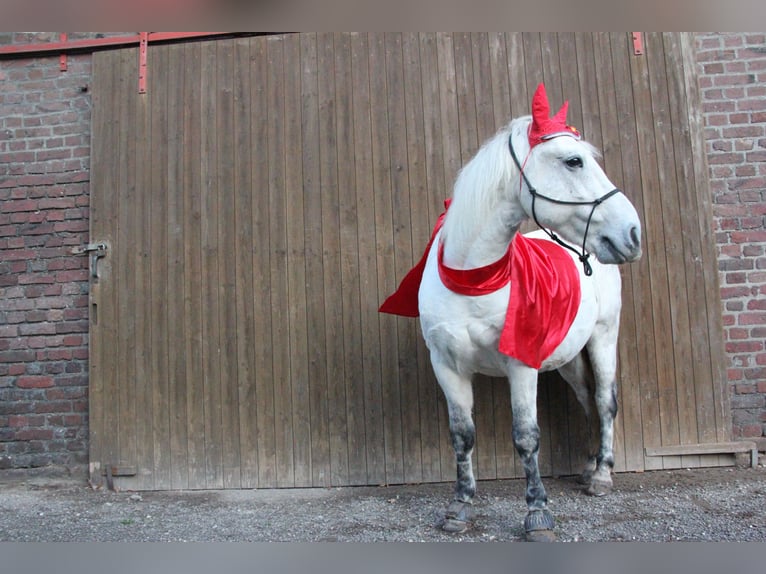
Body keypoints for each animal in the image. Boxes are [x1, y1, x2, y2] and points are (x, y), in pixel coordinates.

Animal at [380, 84, 642, 541]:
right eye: (573, 161)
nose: (631, 233)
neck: (474, 279)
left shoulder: (521, 364)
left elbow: (525, 437)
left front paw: (537, 514)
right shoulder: (447, 366)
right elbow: (462, 436)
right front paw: (460, 507)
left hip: (603, 337)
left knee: (605, 401)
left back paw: (602, 475)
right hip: (566, 358)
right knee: (586, 399)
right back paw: (589, 466)